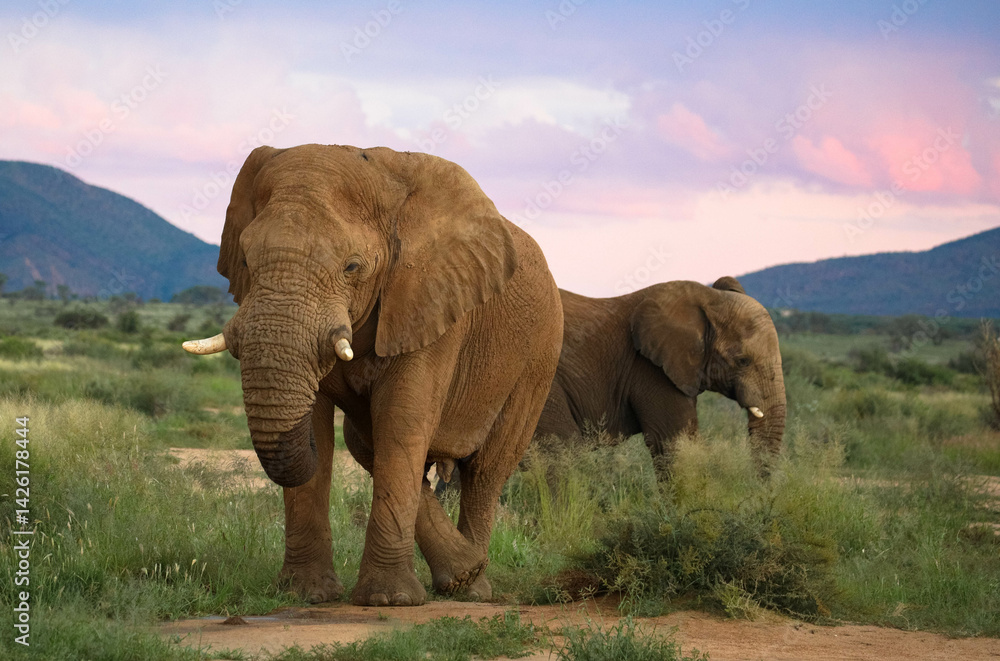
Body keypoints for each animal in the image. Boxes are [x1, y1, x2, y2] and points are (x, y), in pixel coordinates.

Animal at [182, 144, 563, 607]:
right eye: (244, 260)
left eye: (352, 266)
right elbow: (329, 426)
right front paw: (307, 595)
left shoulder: (430, 299)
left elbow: (400, 420)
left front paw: (389, 600)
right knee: (367, 444)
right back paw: (461, 574)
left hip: (539, 357)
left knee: (486, 470)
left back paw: (472, 587)